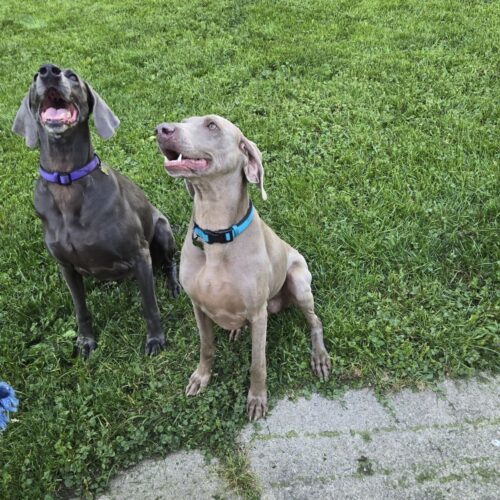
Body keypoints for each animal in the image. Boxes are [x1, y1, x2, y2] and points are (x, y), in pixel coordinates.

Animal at [11, 64, 181, 358]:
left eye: (72, 76)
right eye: (34, 78)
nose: (48, 71)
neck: (66, 178)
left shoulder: (139, 255)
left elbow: (149, 306)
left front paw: (155, 340)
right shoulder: (65, 265)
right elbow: (80, 308)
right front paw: (85, 341)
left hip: (161, 230)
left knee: (170, 263)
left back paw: (173, 285)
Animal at [154, 115, 330, 420]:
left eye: (211, 125)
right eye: (185, 120)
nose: (161, 130)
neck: (216, 234)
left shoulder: (259, 314)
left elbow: (258, 363)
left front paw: (257, 398)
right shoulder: (198, 305)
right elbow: (207, 347)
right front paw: (201, 377)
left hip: (298, 282)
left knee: (315, 321)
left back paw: (319, 357)